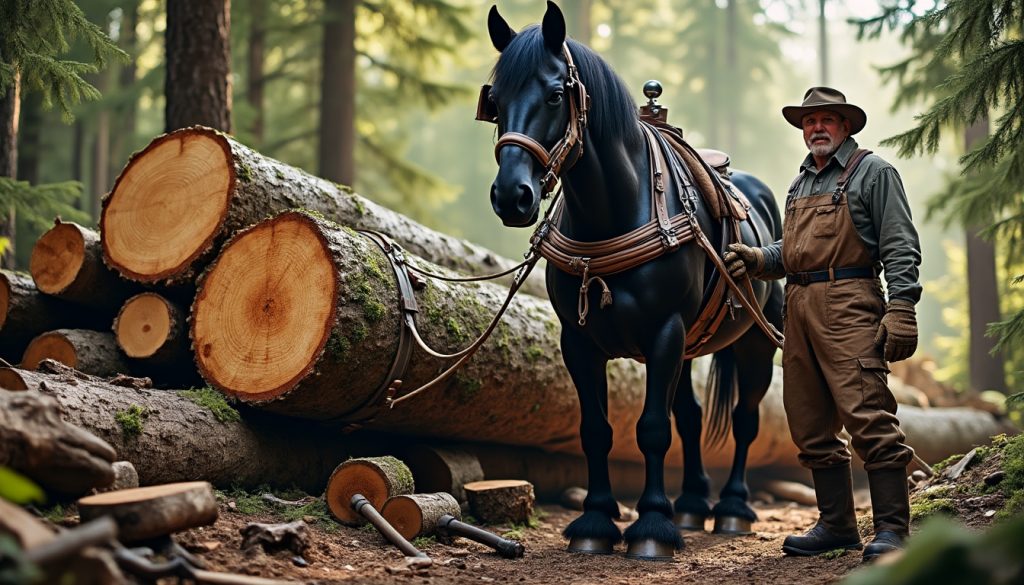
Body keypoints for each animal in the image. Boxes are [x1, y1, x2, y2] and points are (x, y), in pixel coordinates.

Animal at [481, 1, 784, 560]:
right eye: (496, 102)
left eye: (555, 94)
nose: (512, 196)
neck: (614, 211)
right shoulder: (578, 340)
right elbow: (597, 429)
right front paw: (597, 521)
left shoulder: (665, 331)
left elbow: (652, 429)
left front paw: (652, 526)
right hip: (691, 343)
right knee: (690, 414)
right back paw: (693, 503)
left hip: (754, 338)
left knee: (746, 418)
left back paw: (732, 507)